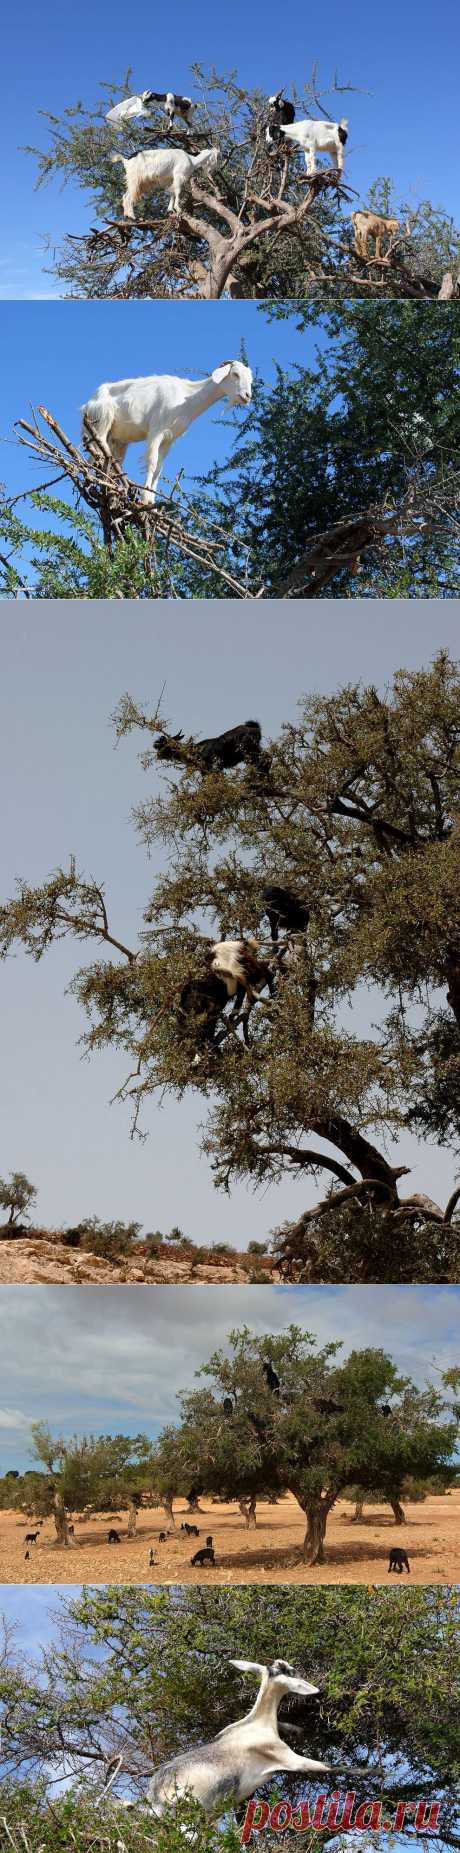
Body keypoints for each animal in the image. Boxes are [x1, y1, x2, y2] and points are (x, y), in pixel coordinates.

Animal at [79, 359, 252, 507]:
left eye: (250, 379)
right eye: (235, 374)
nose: (247, 396)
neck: (186, 397)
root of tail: (89, 403)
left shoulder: (169, 439)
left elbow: (159, 468)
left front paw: (152, 502)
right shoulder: (156, 432)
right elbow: (152, 462)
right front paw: (144, 499)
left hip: (119, 440)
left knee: (108, 459)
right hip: (101, 421)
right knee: (98, 449)